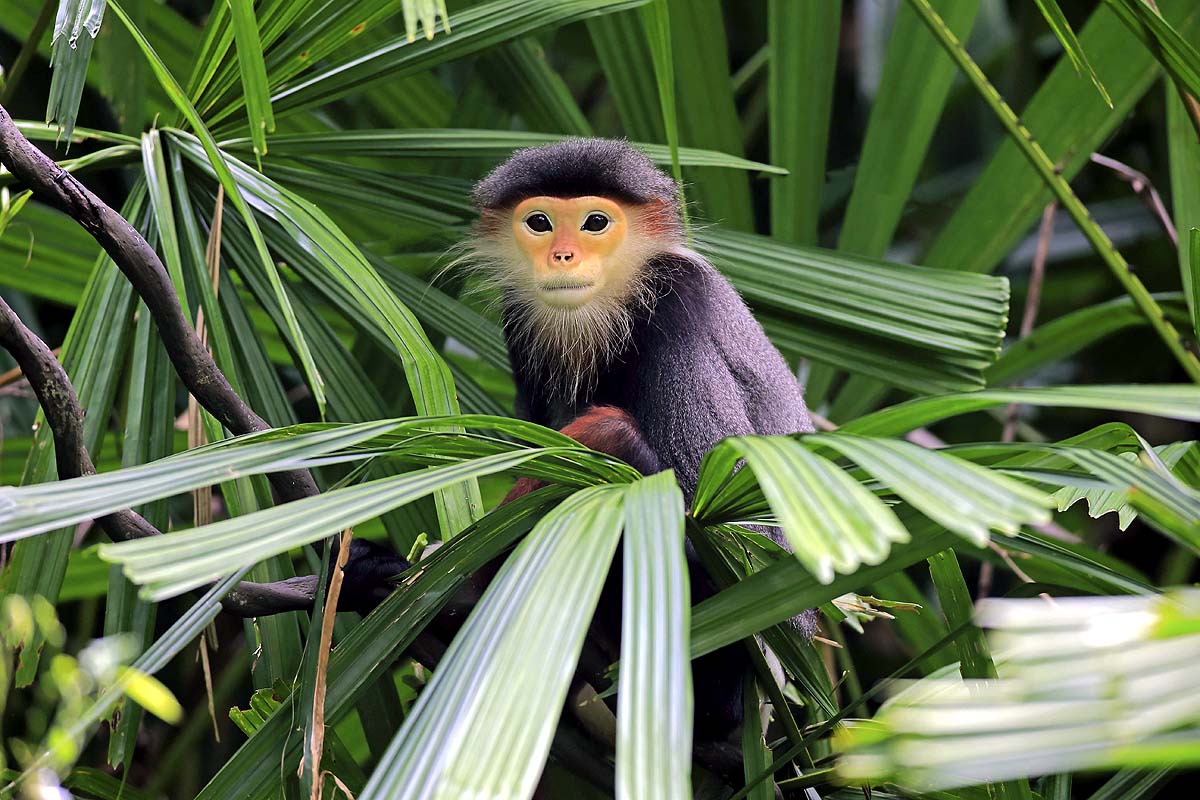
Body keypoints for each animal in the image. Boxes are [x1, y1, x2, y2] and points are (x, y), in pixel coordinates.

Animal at [338, 138, 816, 749]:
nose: (562, 256)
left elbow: (731, 539)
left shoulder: (677, 302)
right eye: (539, 223)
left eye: (595, 223)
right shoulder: (518, 321)